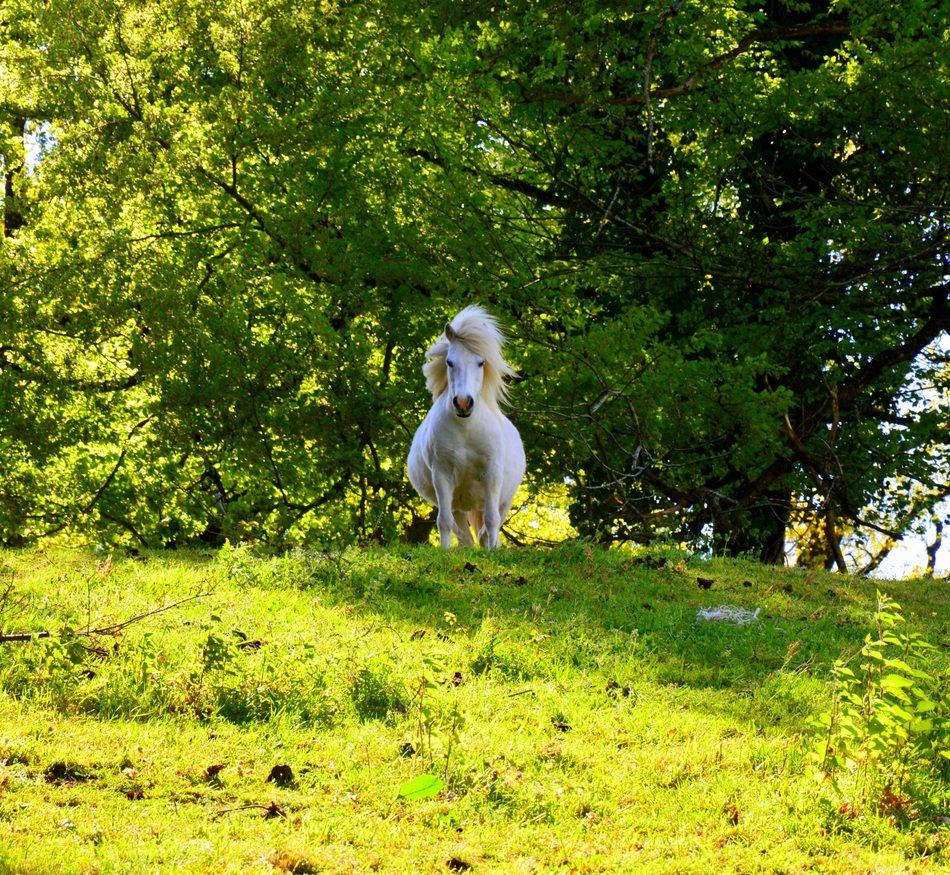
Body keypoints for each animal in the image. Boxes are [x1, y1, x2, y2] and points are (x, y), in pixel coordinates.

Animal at [407, 305, 526, 549]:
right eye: (449, 362)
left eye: (481, 363)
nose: (463, 403)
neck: (466, 430)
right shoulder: (442, 475)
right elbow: (444, 522)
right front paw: (444, 551)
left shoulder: (492, 474)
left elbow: (491, 521)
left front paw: (493, 552)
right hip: (457, 503)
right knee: (463, 534)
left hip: (503, 499)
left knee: (486, 527)